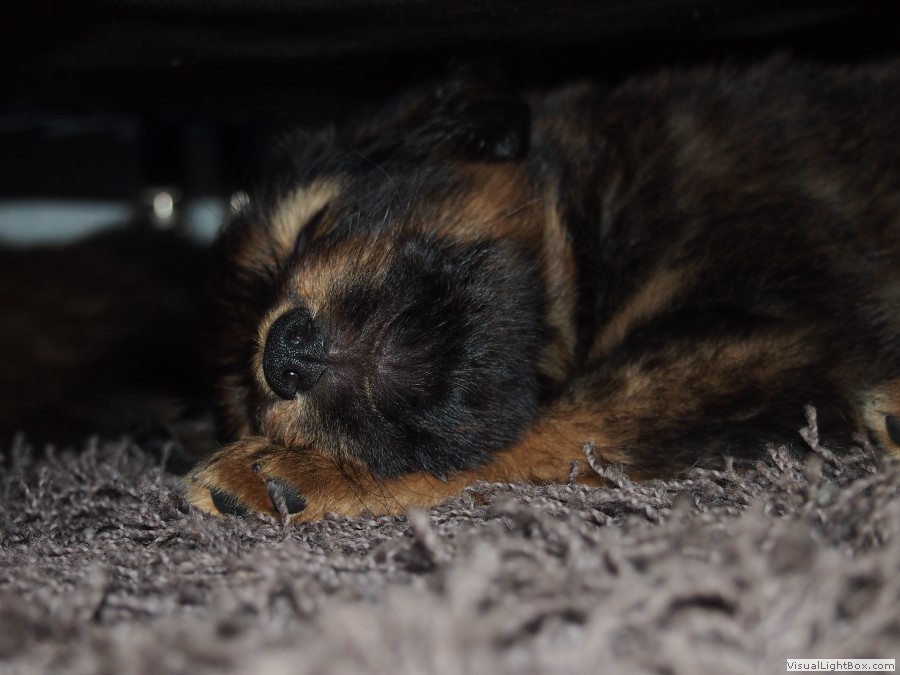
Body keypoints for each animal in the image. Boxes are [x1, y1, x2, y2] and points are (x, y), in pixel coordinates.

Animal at [187, 57, 900, 521]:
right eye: (249, 399)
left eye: (310, 228)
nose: (283, 352)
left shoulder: (794, 328)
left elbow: (561, 424)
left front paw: (301, 471)